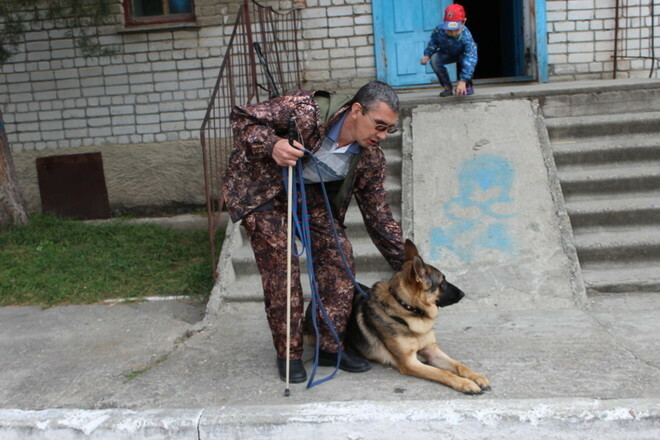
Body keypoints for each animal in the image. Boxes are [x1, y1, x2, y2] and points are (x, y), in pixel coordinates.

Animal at [346, 241, 490, 396]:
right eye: (442, 283)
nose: (463, 293)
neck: (407, 309)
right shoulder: (410, 363)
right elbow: (443, 372)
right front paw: (465, 383)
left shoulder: (431, 351)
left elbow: (459, 365)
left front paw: (476, 377)